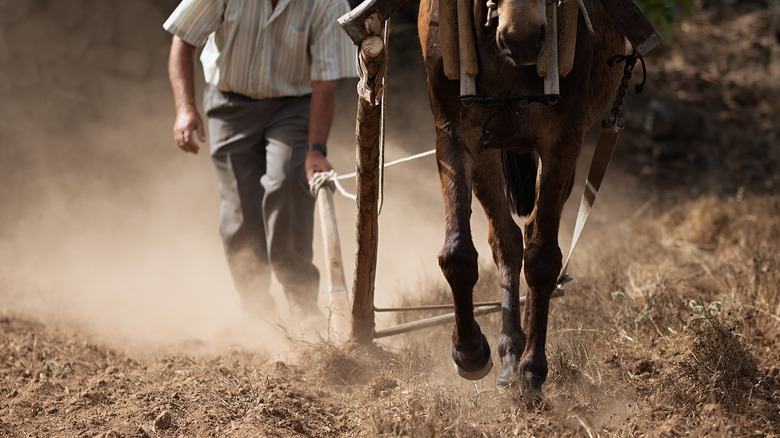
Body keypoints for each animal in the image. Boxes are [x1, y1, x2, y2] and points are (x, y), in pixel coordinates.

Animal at [418, 0, 624, 390]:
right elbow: (457, 253)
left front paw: (533, 367)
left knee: (527, 233)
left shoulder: (563, 138)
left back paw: (520, 351)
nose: (523, 35)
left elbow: (543, 258)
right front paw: (469, 350)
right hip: (489, 147)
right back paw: (510, 347)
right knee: (506, 239)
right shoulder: (453, 131)